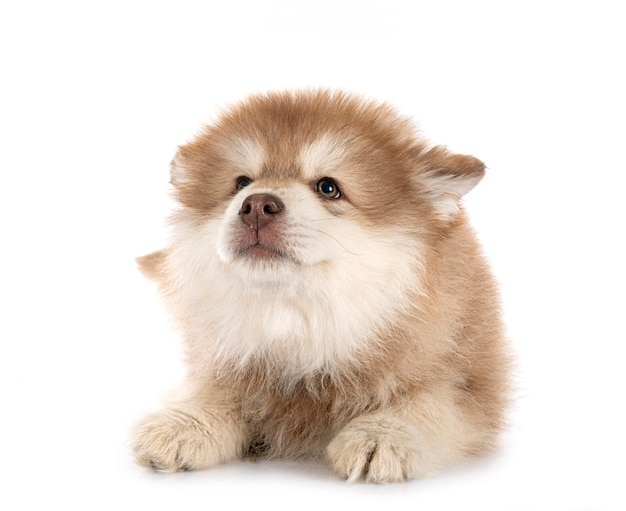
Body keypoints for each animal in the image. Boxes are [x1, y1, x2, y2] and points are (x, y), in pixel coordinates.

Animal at [132, 89, 508, 484]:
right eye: (241, 183)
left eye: (328, 188)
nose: (257, 205)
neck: (305, 326)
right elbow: (215, 393)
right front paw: (183, 424)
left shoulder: (473, 386)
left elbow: (428, 402)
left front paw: (381, 437)